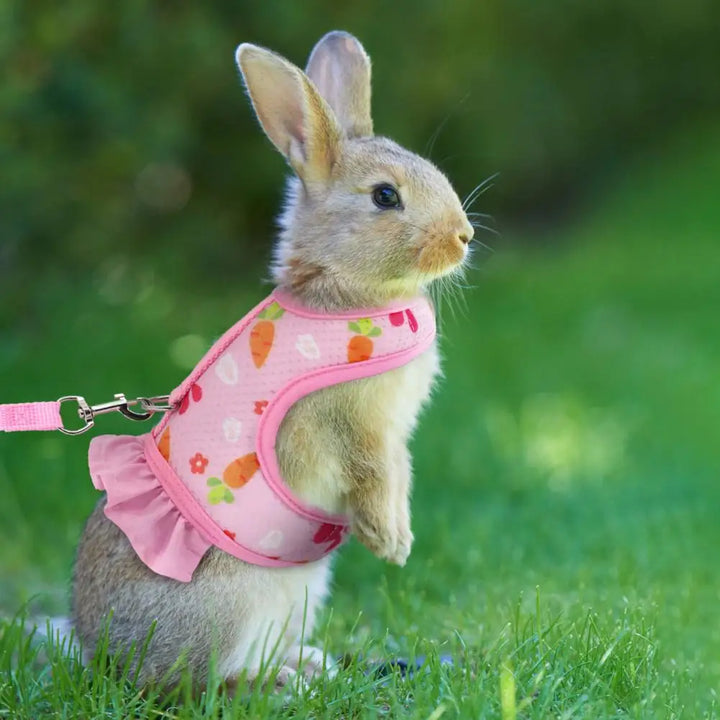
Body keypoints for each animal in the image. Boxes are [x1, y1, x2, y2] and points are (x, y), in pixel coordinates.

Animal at [71, 30, 475, 691]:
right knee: (196, 684)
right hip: (229, 607)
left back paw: (304, 665)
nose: (463, 236)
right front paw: (392, 544)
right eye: (385, 196)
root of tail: (106, 658)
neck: (340, 287)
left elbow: (400, 472)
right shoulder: (353, 425)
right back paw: (283, 684)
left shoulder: (393, 434)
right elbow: (374, 473)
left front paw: (396, 538)